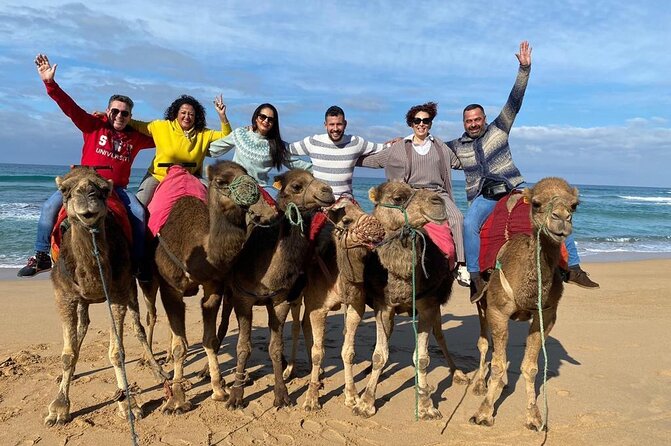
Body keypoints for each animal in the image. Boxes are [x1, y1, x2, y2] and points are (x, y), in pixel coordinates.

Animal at [46, 166, 167, 426]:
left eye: (103, 189)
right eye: (64, 190)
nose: (86, 194)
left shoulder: (118, 292)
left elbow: (117, 352)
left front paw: (129, 405)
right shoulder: (63, 295)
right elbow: (67, 354)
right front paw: (59, 407)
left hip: (133, 285)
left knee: (139, 326)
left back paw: (157, 369)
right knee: (82, 326)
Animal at [142, 160, 278, 414]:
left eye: (246, 173)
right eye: (221, 181)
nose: (258, 196)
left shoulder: (214, 287)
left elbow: (210, 339)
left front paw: (218, 389)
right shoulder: (170, 289)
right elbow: (181, 346)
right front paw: (177, 399)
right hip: (149, 281)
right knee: (151, 314)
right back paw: (151, 360)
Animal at [224, 169, 336, 410]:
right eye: (296, 186)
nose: (328, 191)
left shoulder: (280, 299)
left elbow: (275, 347)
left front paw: (282, 394)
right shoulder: (242, 299)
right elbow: (242, 346)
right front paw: (236, 396)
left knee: (301, 324)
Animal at [352, 180, 468, 418]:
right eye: (398, 197)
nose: (437, 201)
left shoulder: (428, 306)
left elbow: (422, 358)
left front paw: (425, 405)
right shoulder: (383, 305)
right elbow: (380, 355)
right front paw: (366, 402)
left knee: (440, 336)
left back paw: (457, 373)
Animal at [470, 177, 580, 428]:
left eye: (575, 205)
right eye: (537, 204)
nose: (561, 219)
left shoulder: (546, 314)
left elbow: (530, 367)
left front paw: (534, 417)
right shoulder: (498, 310)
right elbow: (498, 364)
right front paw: (483, 413)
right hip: (482, 302)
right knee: (484, 343)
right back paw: (480, 384)